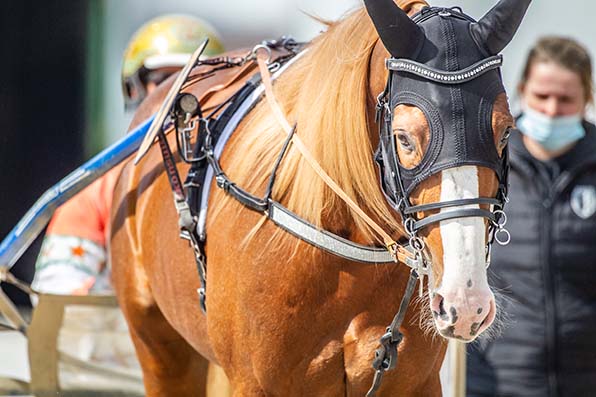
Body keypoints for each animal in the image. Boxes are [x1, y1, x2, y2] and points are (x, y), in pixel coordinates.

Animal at [109, 1, 528, 394]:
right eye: (405, 138)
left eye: (506, 131)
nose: (466, 302)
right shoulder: (256, 383)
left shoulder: (413, 383)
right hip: (159, 350)